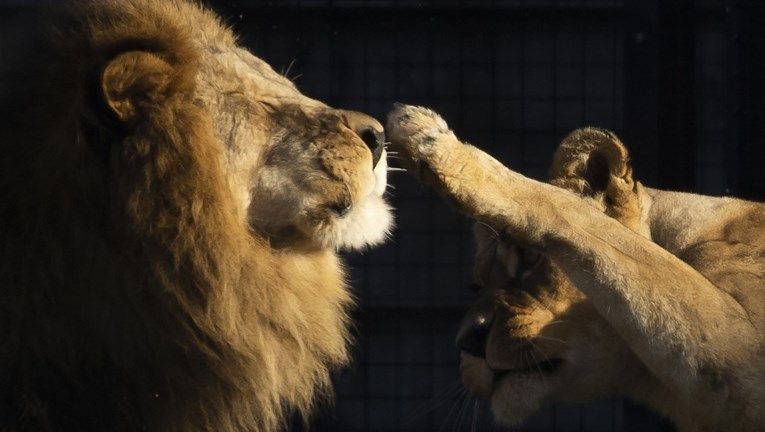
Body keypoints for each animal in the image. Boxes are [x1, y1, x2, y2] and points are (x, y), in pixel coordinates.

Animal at [384, 104, 764, 432]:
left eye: (530, 257)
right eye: (476, 287)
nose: (467, 341)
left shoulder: (743, 350)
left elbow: (571, 211)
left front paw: (432, 144)